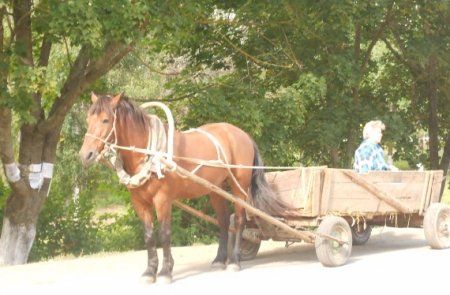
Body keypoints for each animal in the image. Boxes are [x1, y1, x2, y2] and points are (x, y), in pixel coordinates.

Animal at [79, 93, 286, 284]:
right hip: (215, 189)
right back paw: (219, 259)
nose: (85, 155)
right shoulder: (139, 202)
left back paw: (234, 260)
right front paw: (149, 272)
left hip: (239, 188)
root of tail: (243, 134)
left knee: (241, 221)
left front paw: (165, 271)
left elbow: (164, 234)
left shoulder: (162, 200)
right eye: (88, 119)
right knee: (223, 221)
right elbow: (148, 236)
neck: (149, 153)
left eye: (106, 120)